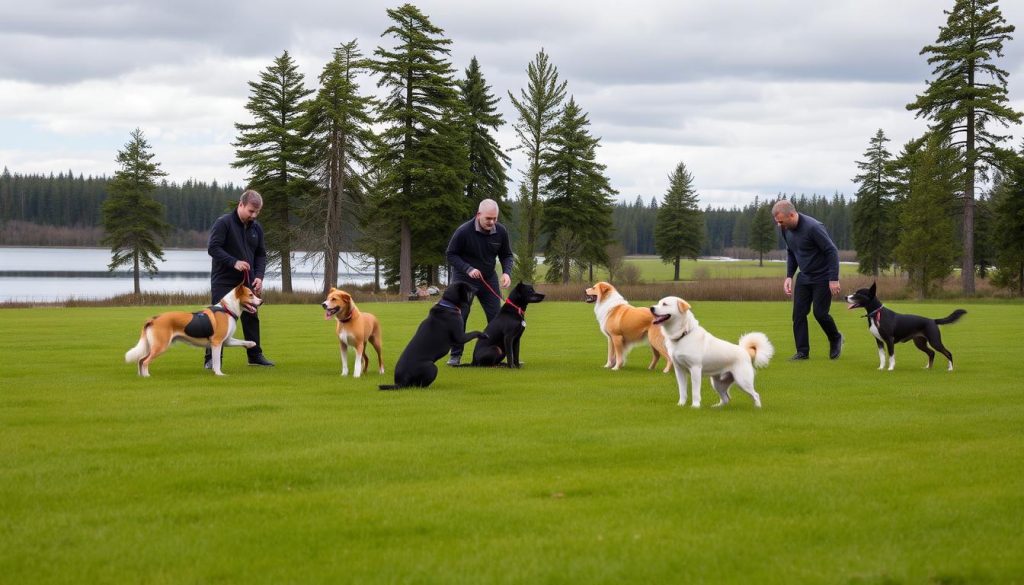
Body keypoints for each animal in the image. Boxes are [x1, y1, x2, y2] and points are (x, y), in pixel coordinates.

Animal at [124, 284, 262, 379]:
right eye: (251, 295)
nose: (261, 301)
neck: (227, 310)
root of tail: (153, 319)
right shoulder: (217, 343)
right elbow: (216, 361)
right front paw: (219, 374)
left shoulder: (226, 341)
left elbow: (244, 341)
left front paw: (251, 344)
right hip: (160, 346)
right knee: (145, 361)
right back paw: (147, 376)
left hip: (152, 346)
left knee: (140, 360)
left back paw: (141, 376)